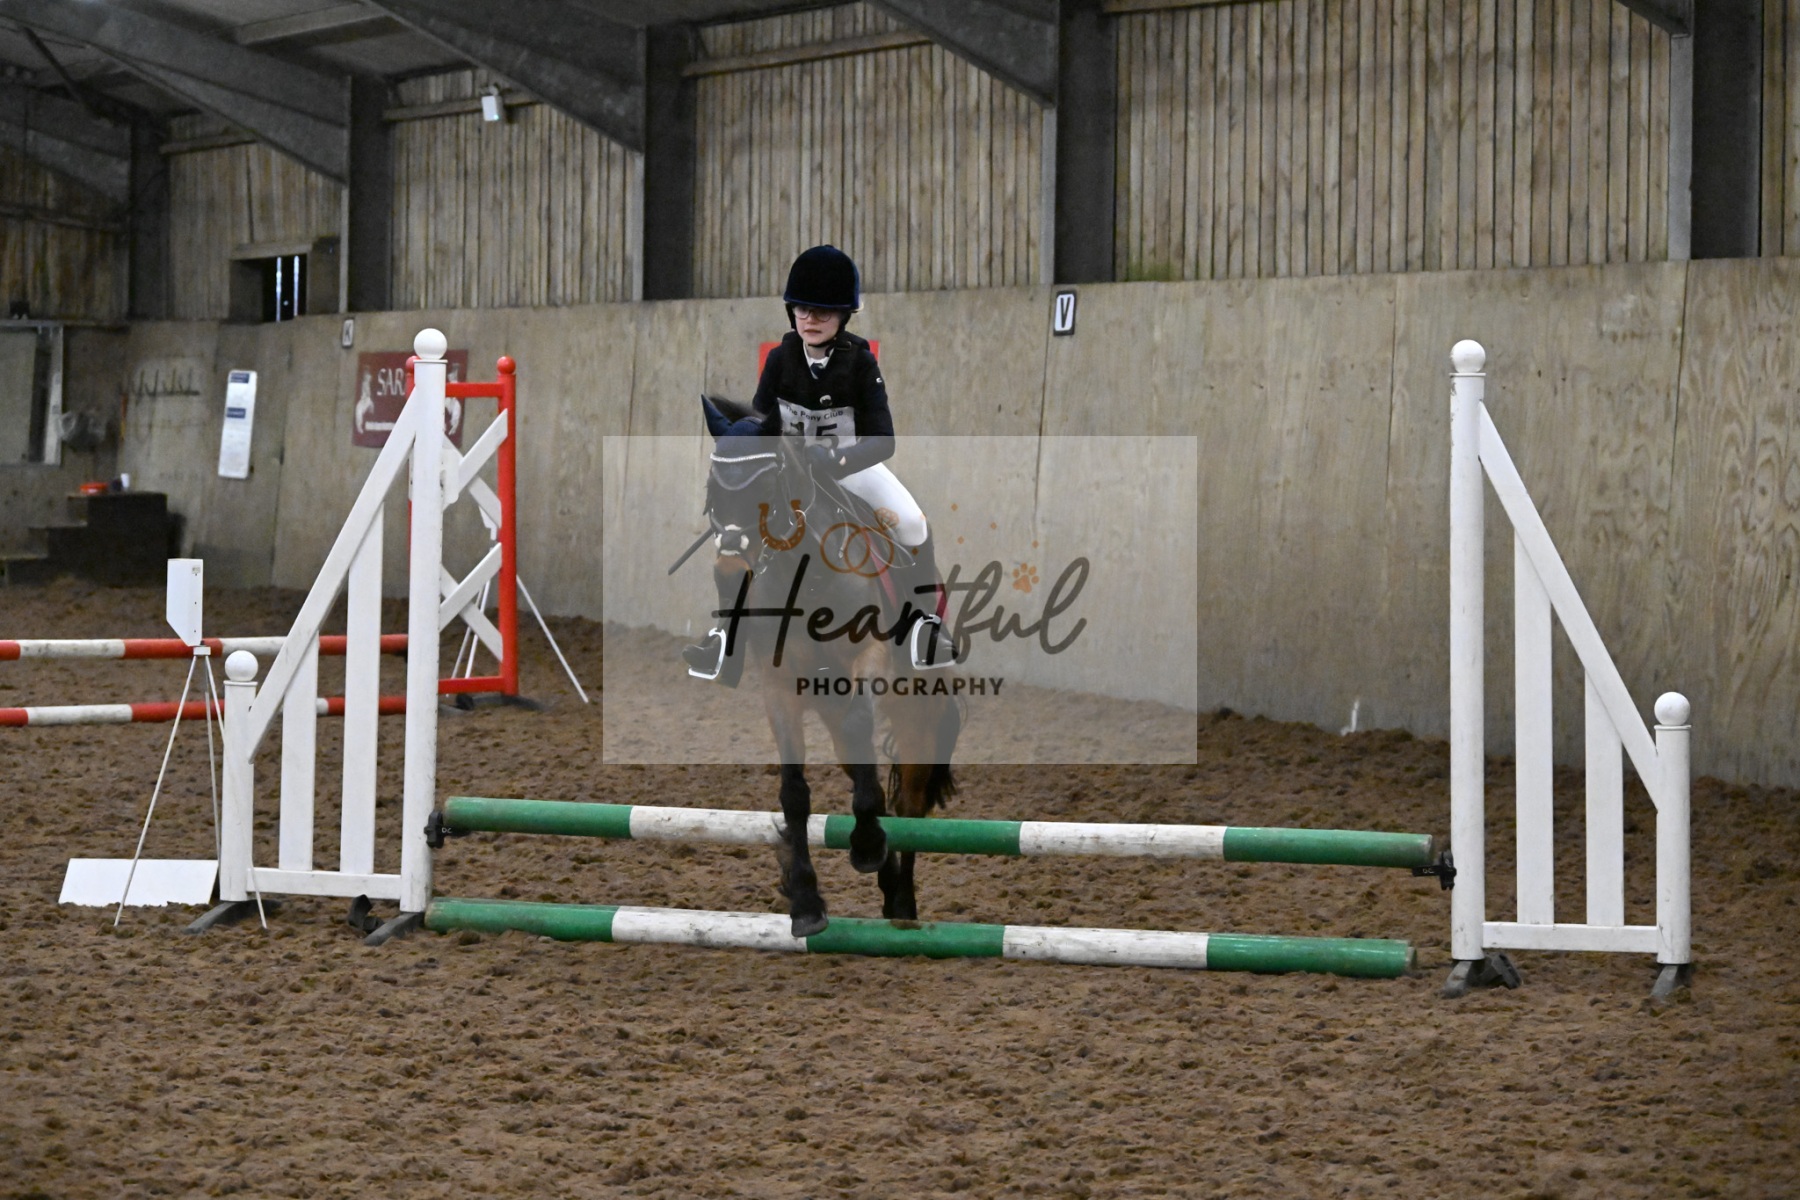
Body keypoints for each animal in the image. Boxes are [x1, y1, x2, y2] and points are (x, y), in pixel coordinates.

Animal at [690, 395, 961, 936]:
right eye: (712, 491)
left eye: (766, 488)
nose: (729, 569)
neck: (807, 572)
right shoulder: (778, 685)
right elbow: (794, 792)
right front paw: (806, 902)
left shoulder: (867, 656)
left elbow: (861, 732)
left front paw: (866, 846)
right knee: (862, 766)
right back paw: (887, 886)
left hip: (921, 711)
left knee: (910, 802)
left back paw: (902, 902)